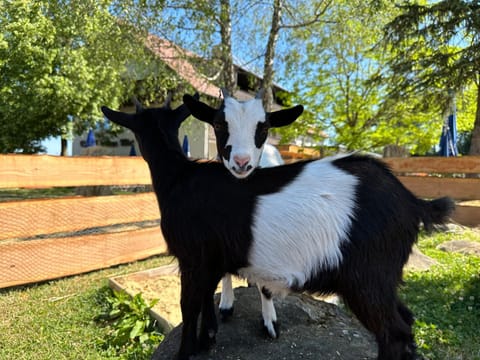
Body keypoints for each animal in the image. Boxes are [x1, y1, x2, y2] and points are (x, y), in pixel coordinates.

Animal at [101, 96, 454, 360]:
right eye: (220, 125)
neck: (179, 176)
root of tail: (413, 202)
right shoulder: (212, 258)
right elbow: (206, 299)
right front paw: (209, 337)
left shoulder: (192, 258)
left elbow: (188, 306)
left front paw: (187, 350)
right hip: (384, 279)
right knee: (406, 321)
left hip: (367, 278)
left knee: (394, 332)